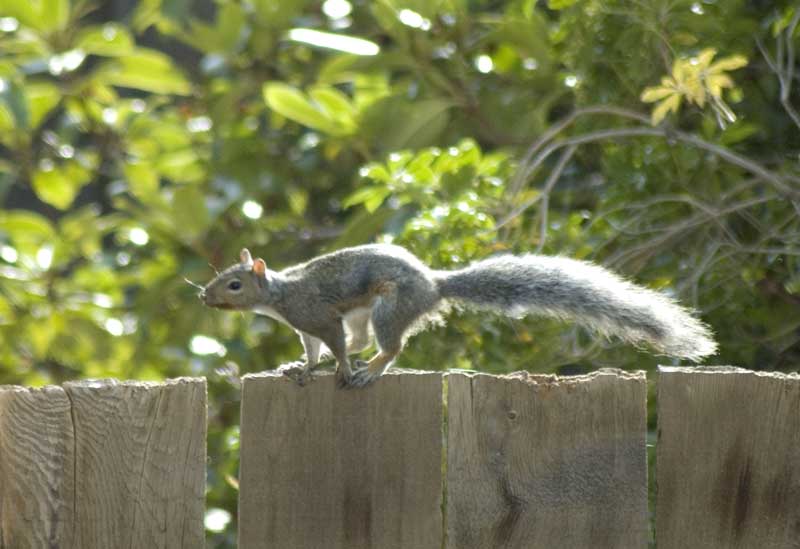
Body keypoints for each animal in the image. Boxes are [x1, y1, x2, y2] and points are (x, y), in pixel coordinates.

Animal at [202, 242, 720, 388]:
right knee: (368, 340)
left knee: (389, 345)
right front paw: (302, 367)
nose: (205, 298)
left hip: (388, 307)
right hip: (367, 312)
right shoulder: (307, 327)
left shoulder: (320, 317)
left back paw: (371, 371)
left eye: (234, 284)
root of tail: (435, 285)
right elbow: (312, 351)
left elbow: (335, 344)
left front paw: (342, 369)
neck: (279, 295)